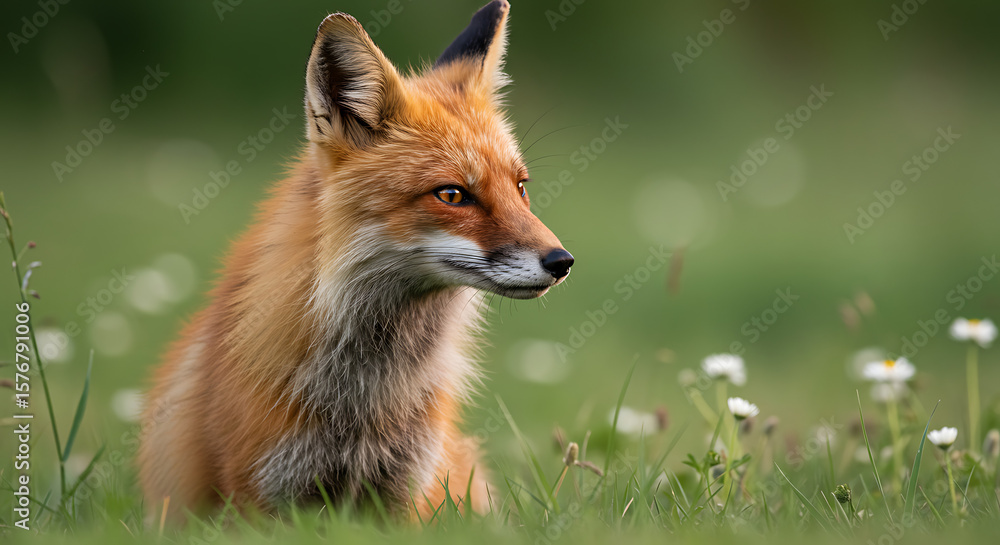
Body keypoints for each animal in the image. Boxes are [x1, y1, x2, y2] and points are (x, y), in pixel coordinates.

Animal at [138, 0, 574, 523]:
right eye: (452, 195)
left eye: (521, 187)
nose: (562, 261)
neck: (362, 402)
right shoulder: (258, 497)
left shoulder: (406, 496)